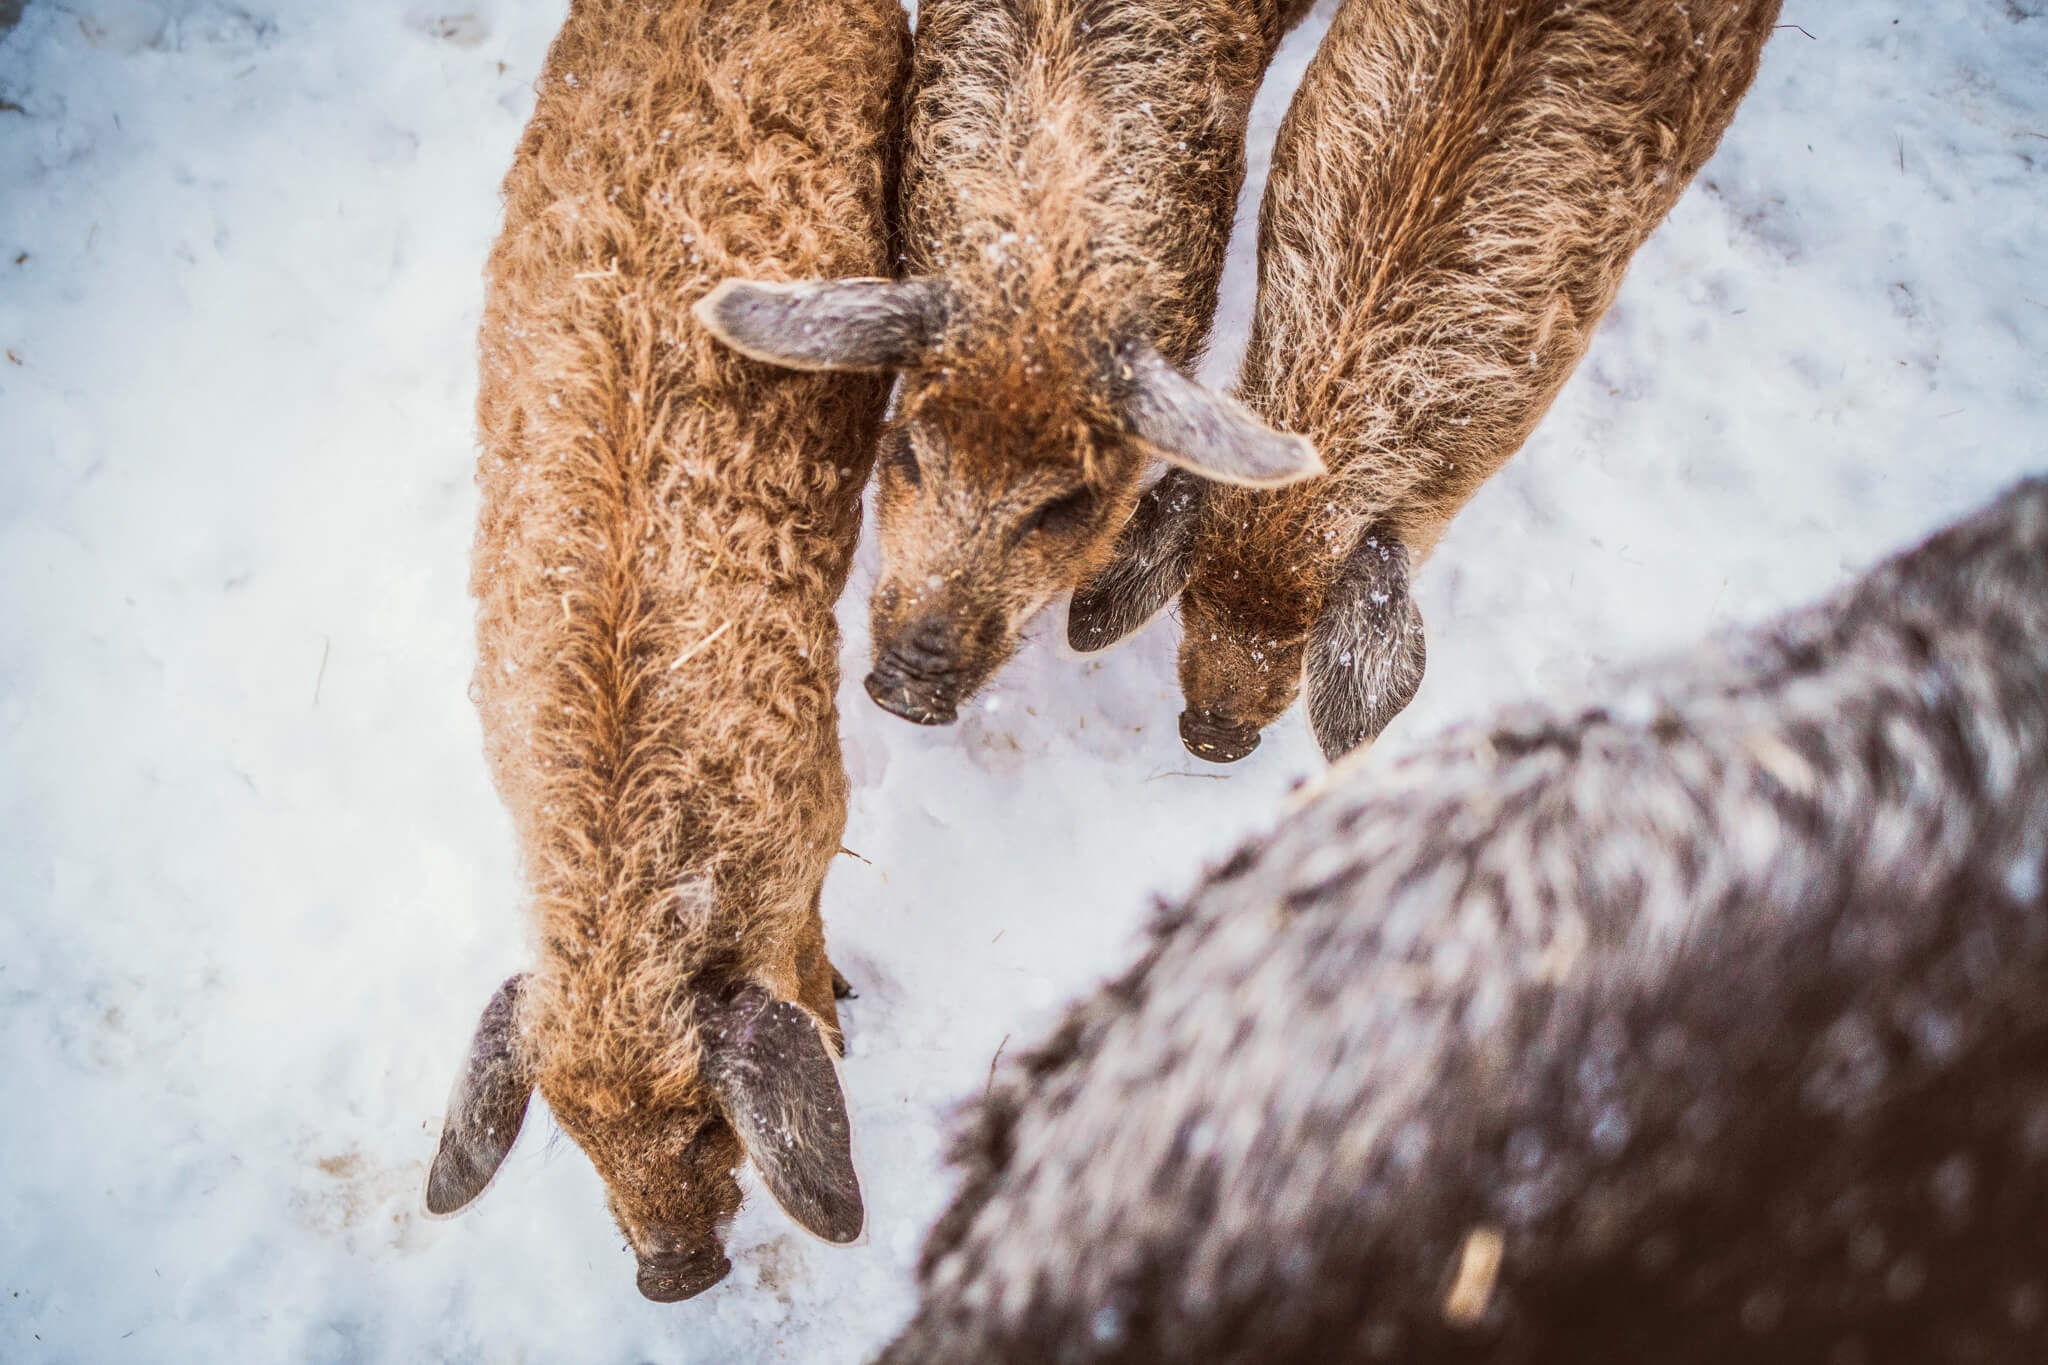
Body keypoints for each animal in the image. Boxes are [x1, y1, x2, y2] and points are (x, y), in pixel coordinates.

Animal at [421, 0, 905, 1301]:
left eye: (701, 1122)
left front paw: (846, 1016)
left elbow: (810, 960)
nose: (672, 1276)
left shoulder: (820, 818)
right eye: (572, 1132)